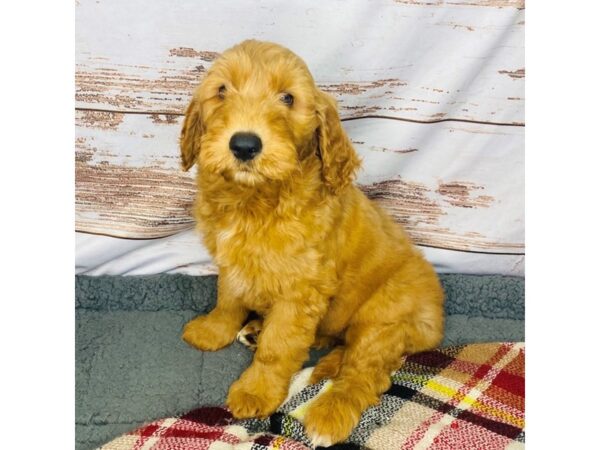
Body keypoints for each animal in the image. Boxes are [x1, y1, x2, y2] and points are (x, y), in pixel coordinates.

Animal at [180, 38, 442, 446]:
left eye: (288, 98)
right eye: (222, 91)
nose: (244, 145)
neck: (255, 199)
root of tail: (436, 321)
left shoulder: (300, 289)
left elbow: (278, 348)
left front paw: (256, 390)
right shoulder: (233, 262)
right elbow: (228, 300)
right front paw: (213, 331)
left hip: (383, 319)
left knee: (363, 372)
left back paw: (329, 414)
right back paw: (256, 330)